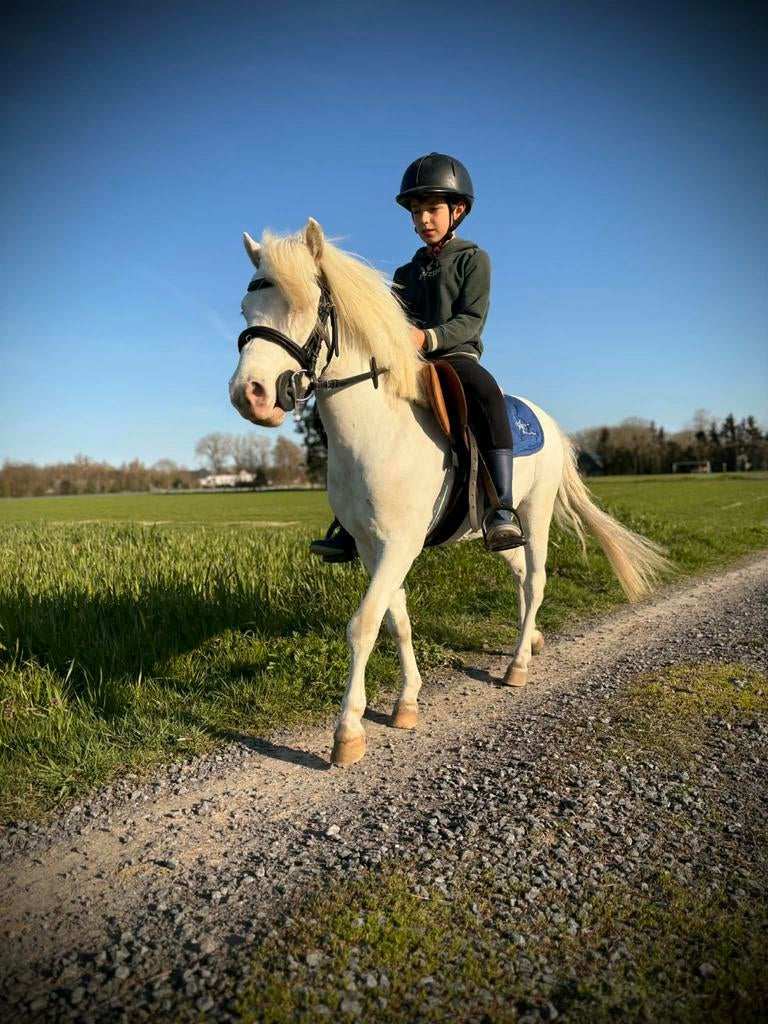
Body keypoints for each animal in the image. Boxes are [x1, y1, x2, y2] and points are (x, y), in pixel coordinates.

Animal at [229, 219, 669, 766]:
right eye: (246, 309)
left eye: (306, 304)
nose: (249, 396)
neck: (378, 430)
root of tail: (545, 420)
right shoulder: (372, 548)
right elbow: (396, 620)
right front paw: (406, 703)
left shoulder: (400, 544)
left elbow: (363, 624)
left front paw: (348, 732)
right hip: (498, 527)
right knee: (518, 572)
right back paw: (533, 639)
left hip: (536, 512)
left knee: (536, 580)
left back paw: (518, 666)